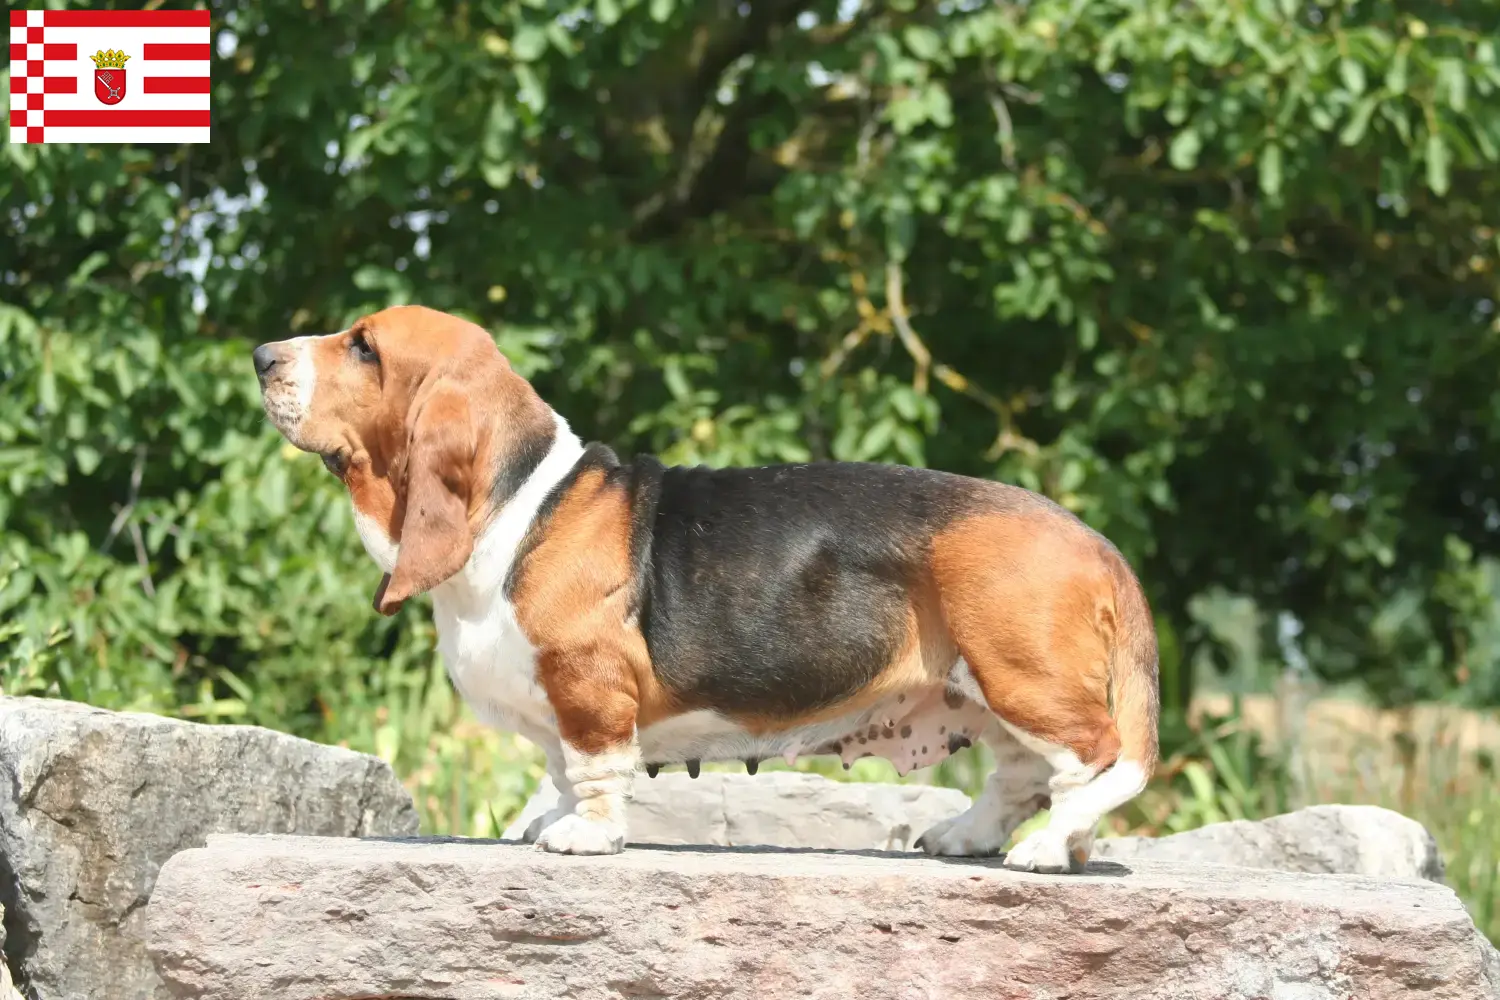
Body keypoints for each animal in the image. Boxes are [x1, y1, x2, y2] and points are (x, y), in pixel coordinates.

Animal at [255, 302, 1158, 869]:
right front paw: (552, 820)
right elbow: (558, 771)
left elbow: (593, 769)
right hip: (989, 690)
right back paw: (968, 836)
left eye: (364, 347)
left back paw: (1047, 850)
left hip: (1020, 676)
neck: (517, 502)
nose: (262, 356)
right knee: (1023, 776)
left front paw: (583, 836)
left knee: (1099, 762)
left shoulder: (588, 687)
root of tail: (1095, 541)